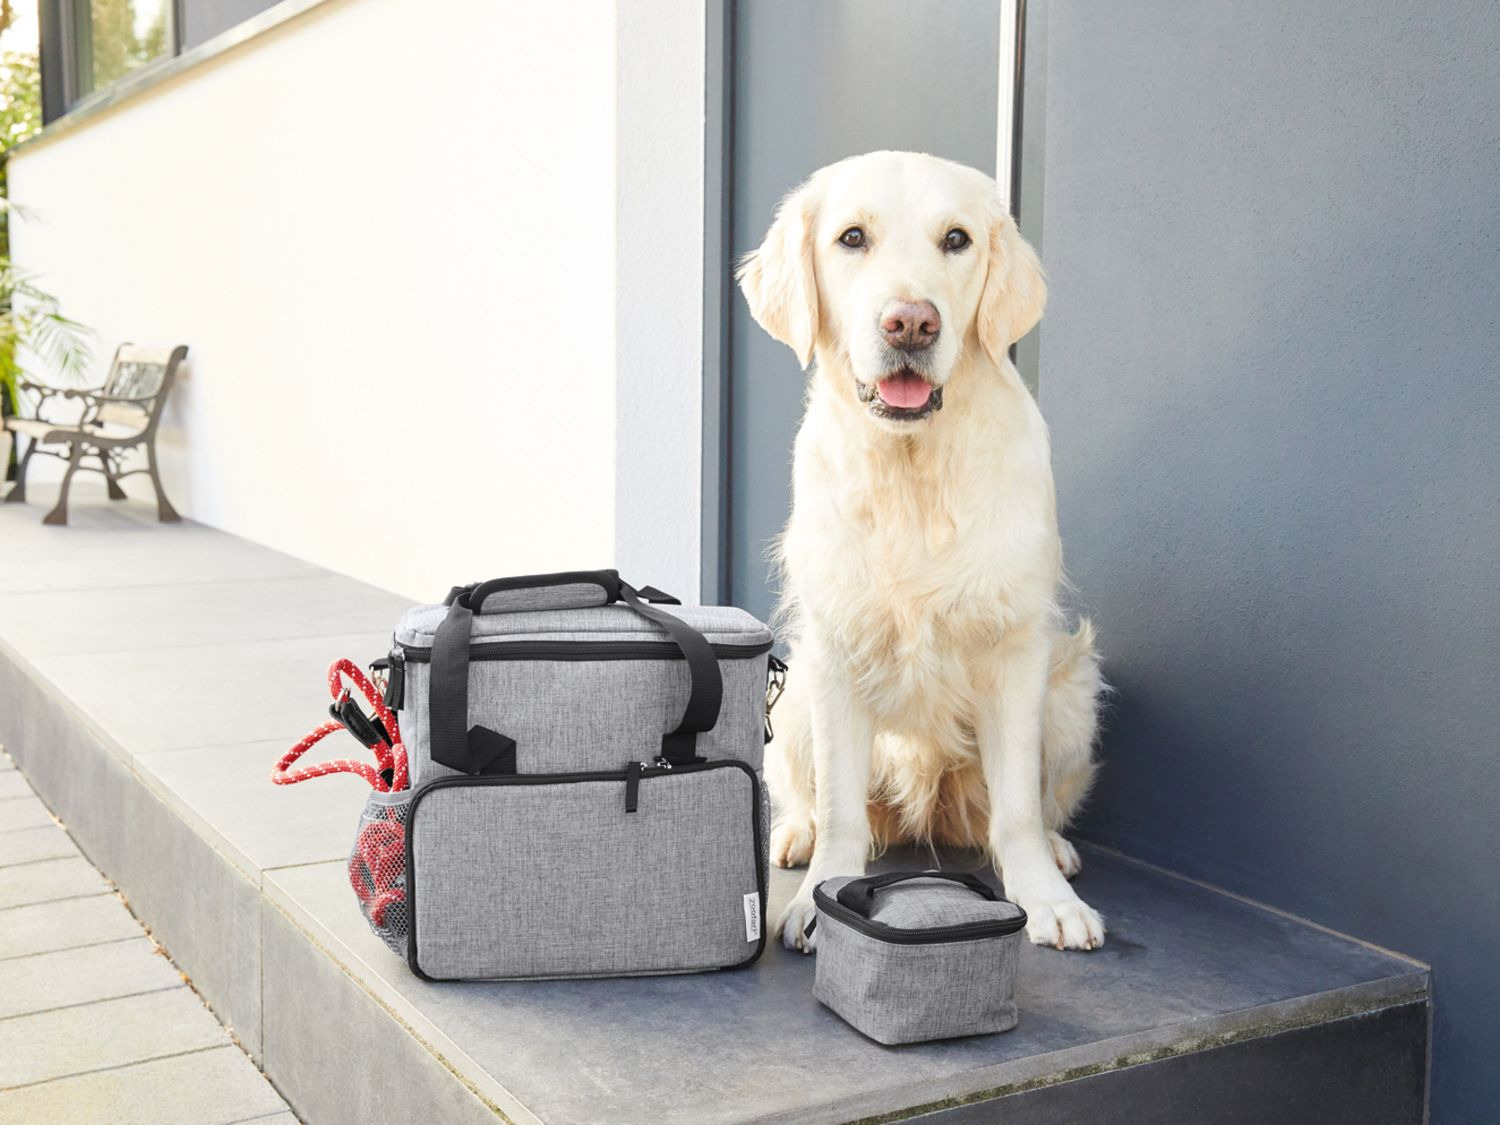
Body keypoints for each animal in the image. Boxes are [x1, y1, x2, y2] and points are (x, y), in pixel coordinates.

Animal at [737, 150, 1106, 952]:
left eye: (956, 239)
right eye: (851, 237)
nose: (911, 322)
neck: (912, 468)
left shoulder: (1017, 650)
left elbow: (1017, 809)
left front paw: (1047, 898)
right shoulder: (835, 652)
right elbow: (842, 810)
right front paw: (818, 899)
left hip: (1072, 692)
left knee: (1031, 804)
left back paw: (1056, 850)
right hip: (796, 696)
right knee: (815, 800)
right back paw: (794, 835)